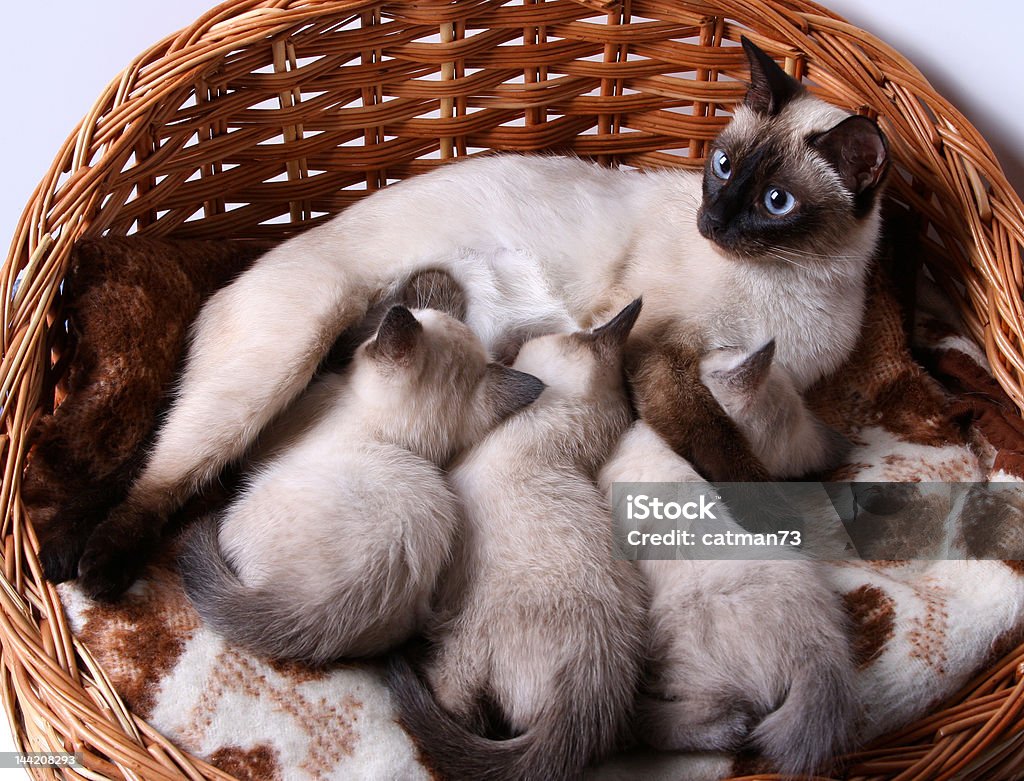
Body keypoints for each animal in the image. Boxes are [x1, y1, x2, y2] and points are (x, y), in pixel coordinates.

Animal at [70, 38, 888, 597]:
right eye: (722, 168)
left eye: (775, 202)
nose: (712, 222)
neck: (800, 285)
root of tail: (222, 285)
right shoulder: (662, 356)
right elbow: (725, 450)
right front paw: (786, 515)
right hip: (277, 361)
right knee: (163, 479)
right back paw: (95, 573)